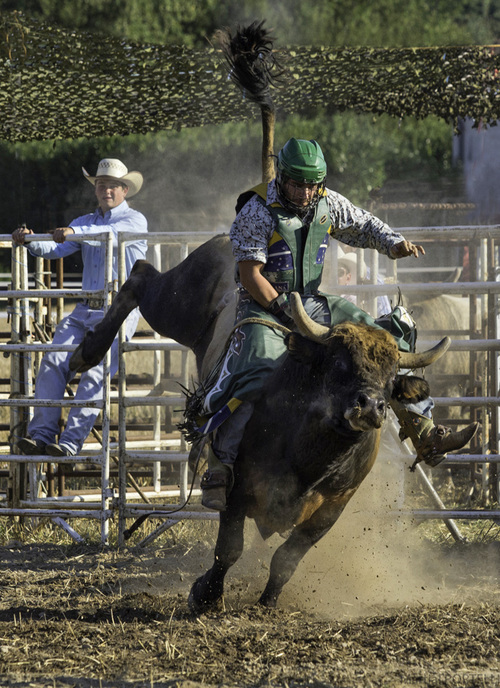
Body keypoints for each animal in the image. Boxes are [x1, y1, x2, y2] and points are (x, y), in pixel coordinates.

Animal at [65, 21, 450, 612]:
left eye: (390, 377)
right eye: (338, 366)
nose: (370, 409)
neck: (313, 444)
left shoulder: (330, 510)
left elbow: (287, 555)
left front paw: (270, 599)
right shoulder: (238, 488)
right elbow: (229, 547)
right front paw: (206, 592)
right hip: (177, 301)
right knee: (140, 276)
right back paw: (83, 354)